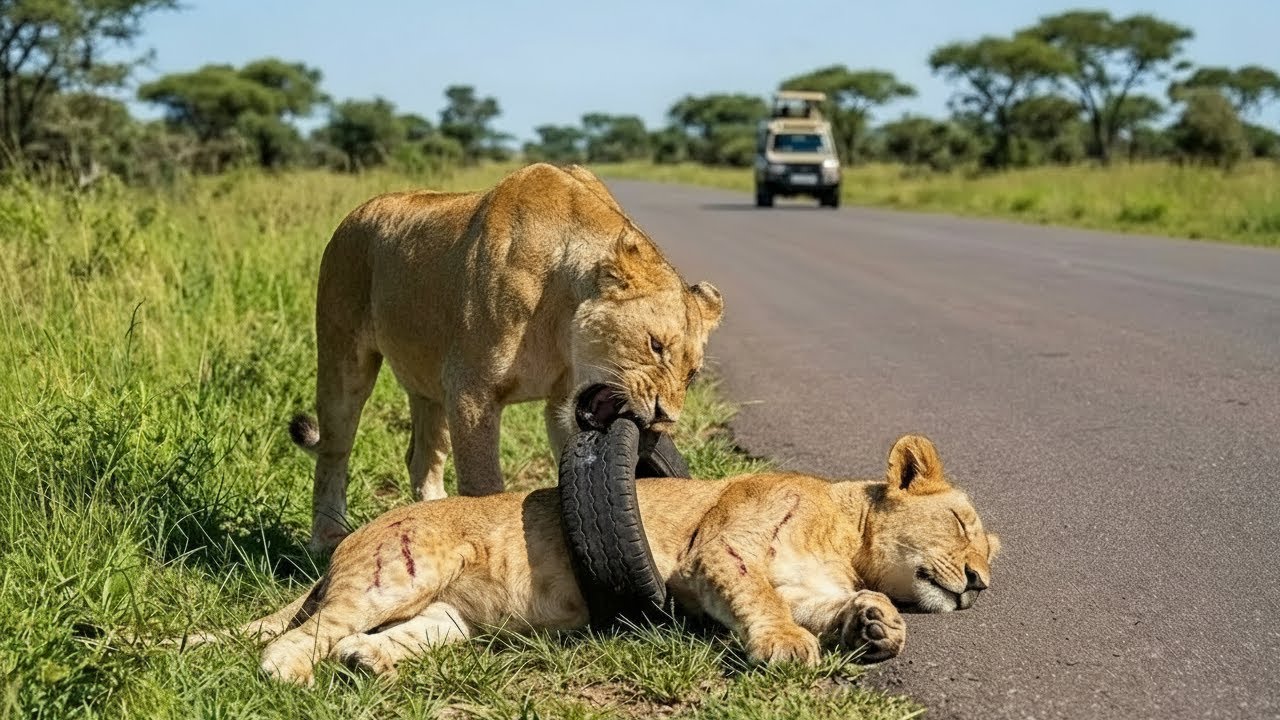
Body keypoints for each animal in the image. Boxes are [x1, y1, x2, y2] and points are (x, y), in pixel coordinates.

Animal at [217, 434, 999, 684]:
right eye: (962, 522)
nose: (982, 584)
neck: (845, 538)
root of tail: (351, 541)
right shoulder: (720, 549)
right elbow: (764, 603)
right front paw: (786, 647)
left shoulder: (811, 586)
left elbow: (833, 606)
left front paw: (878, 626)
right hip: (402, 568)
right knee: (309, 629)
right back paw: (287, 672)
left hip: (446, 619)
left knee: (375, 635)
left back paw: (368, 662)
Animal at [290, 163, 724, 552]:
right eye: (655, 345)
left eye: (691, 374)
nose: (665, 417)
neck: (562, 313)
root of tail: (358, 212)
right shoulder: (472, 391)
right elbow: (483, 485)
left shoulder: (561, 402)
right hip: (343, 354)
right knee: (334, 450)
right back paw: (327, 537)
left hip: (430, 386)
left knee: (422, 457)